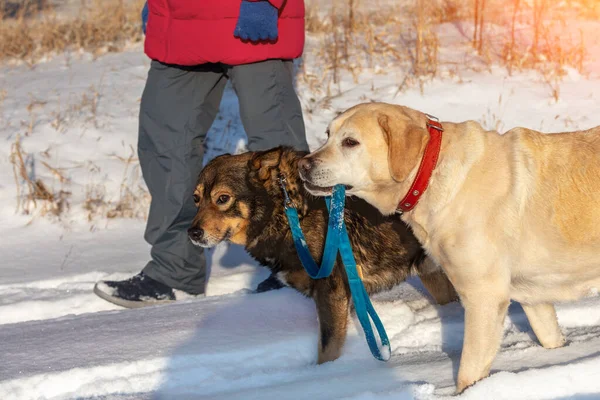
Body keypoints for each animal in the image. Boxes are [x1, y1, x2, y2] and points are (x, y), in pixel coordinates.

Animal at [190, 148, 458, 364]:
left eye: (223, 198)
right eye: (196, 199)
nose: (192, 232)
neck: (288, 210)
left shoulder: (331, 292)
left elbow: (327, 348)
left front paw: (323, 374)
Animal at [302, 101, 600, 392]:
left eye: (350, 142)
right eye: (327, 135)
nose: (303, 165)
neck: (429, 173)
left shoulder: (484, 296)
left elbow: (468, 373)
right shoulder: (531, 296)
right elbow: (549, 336)